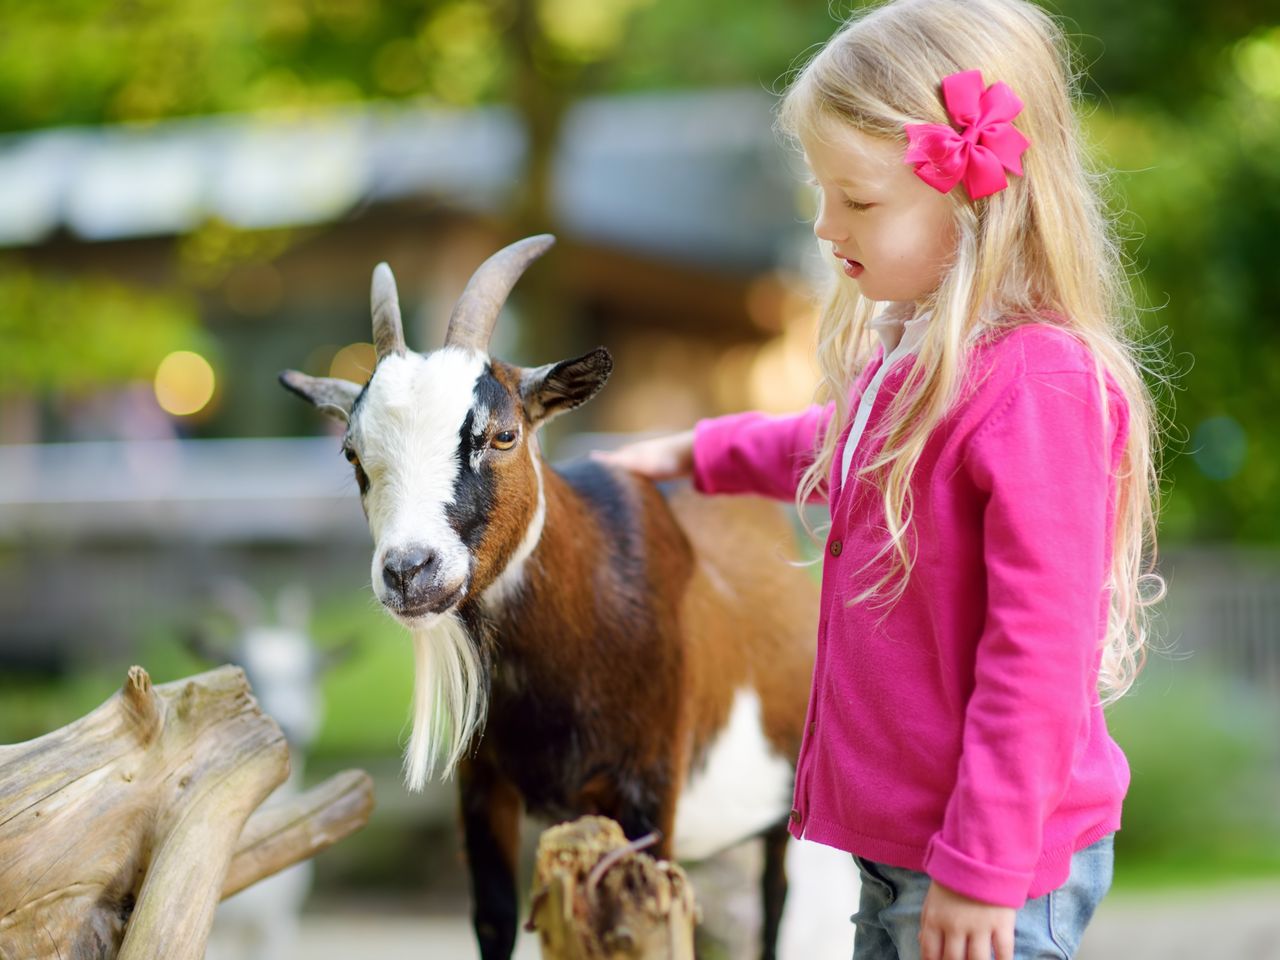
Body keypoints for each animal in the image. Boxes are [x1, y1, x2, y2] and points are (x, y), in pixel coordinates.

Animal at [280, 235, 819, 960]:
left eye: (504, 434)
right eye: (351, 454)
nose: (408, 571)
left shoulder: (650, 792)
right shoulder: (483, 790)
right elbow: (494, 921)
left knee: (775, 900)